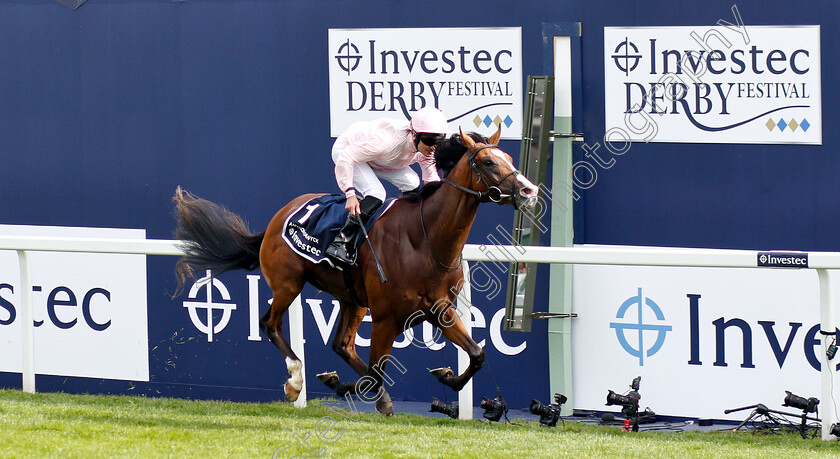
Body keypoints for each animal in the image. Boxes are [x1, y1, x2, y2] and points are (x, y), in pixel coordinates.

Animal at [172, 126, 540, 416]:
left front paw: (445, 376)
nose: (530, 190)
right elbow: (377, 372)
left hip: (353, 299)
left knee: (342, 345)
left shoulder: (440, 309)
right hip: (288, 283)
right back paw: (296, 379)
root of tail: (281, 214)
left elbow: (477, 354)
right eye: (489, 161)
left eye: (509, 156)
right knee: (270, 324)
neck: (424, 240)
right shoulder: (387, 317)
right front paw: (354, 390)